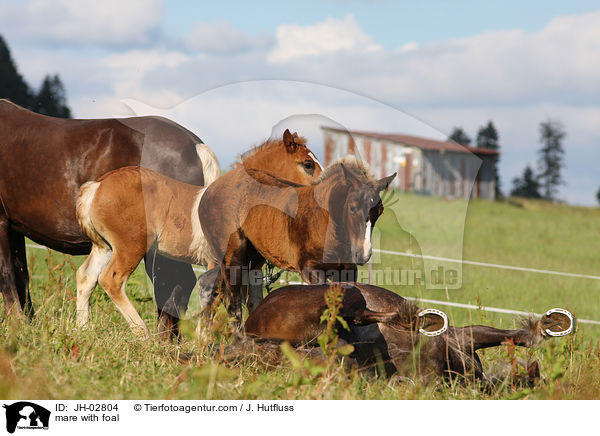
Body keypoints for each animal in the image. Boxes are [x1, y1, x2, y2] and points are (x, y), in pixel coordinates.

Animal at [0, 101, 219, 338]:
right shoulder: (14, 227)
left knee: (172, 284)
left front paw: (18, 325)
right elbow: (20, 275)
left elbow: (7, 275)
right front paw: (28, 324)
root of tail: (196, 145)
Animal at [75, 129, 324, 334]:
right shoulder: (219, 264)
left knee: (86, 276)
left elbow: (253, 302)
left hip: (104, 247)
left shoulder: (251, 268)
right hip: (131, 247)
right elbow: (215, 301)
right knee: (111, 280)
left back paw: (83, 329)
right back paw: (141, 333)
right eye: (307, 164)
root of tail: (97, 186)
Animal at [241, 282, 576, 382]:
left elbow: (512, 337)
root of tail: (251, 326)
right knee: (360, 318)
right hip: (343, 296)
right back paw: (419, 317)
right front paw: (553, 324)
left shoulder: (465, 340)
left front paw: (551, 324)